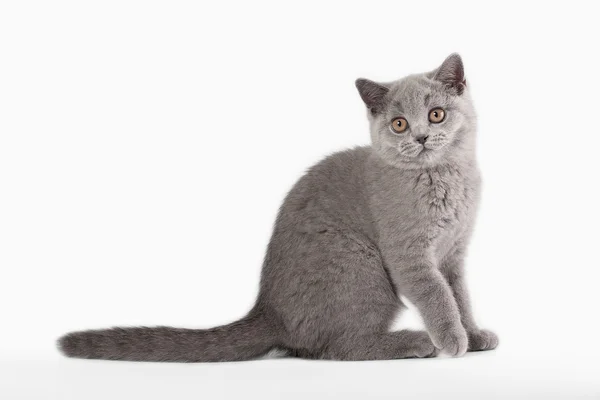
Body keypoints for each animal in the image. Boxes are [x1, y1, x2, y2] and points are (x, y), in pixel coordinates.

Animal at [58, 54, 496, 362]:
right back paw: (413, 341)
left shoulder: (454, 252)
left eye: (436, 114)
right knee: (338, 347)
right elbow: (437, 295)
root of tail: (268, 312)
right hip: (360, 264)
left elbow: (460, 295)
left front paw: (473, 335)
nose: (420, 136)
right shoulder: (409, 254)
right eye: (399, 124)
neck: (445, 179)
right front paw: (452, 339)